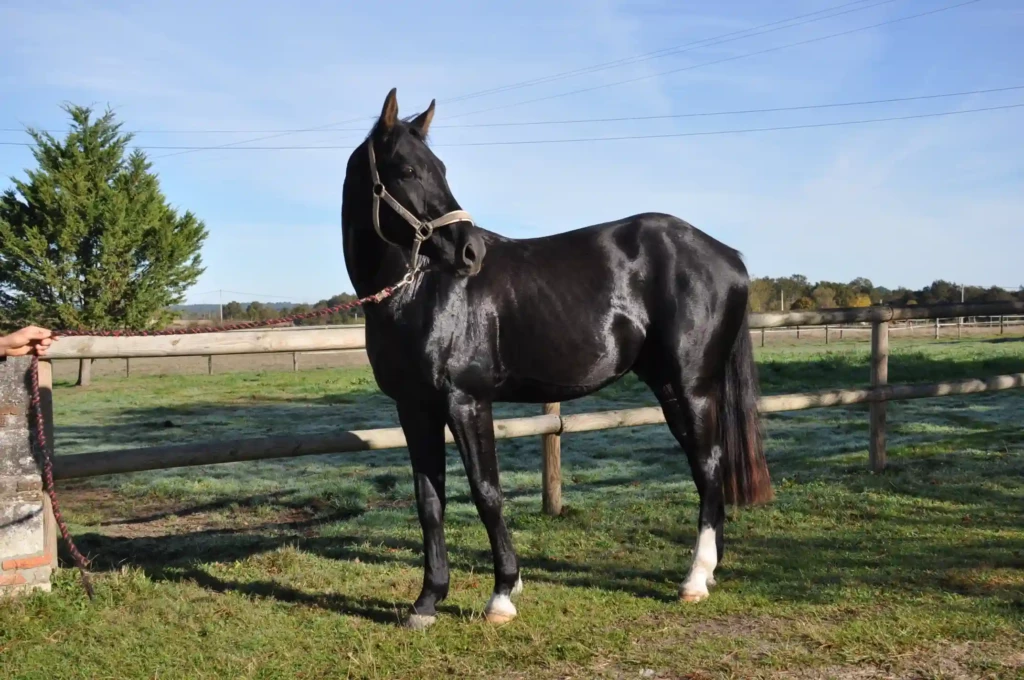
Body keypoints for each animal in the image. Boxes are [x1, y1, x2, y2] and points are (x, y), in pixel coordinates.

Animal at [340, 88, 773, 629]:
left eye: (439, 167)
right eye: (405, 169)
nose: (471, 251)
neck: (418, 293)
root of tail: (729, 256)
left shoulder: (466, 401)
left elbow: (486, 491)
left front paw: (503, 593)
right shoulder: (414, 408)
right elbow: (429, 500)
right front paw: (426, 602)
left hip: (692, 388)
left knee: (710, 466)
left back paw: (695, 579)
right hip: (671, 389)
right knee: (704, 469)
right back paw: (708, 571)